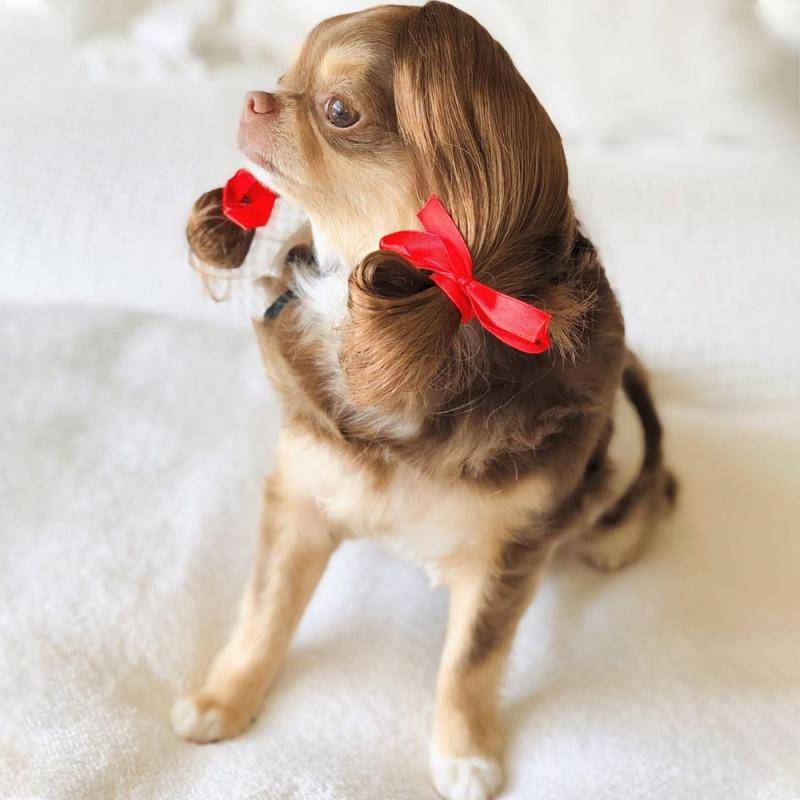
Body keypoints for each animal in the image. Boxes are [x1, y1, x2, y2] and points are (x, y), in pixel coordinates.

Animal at [172, 4, 675, 798]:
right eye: (283, 77)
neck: (385, 322)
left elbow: (470, 664)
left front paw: (463, 751)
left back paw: (618, 541)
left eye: (338, 111)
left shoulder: (509, 553)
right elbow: (263, 614)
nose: (254, 97)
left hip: (618, 450)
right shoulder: (300, 498)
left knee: (654, 478)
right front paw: (225, 698)